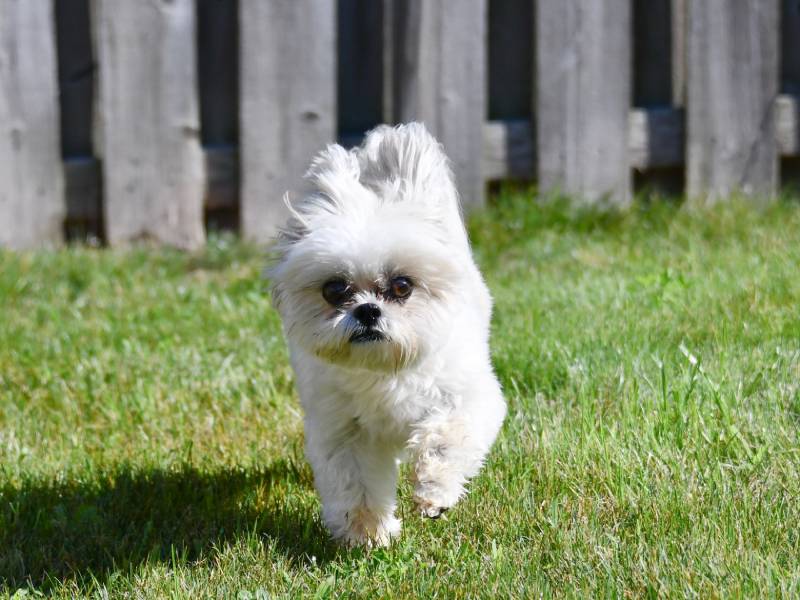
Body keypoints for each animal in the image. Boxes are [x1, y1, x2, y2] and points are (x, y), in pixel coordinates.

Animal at [270, 124, 506, 548]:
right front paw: (367, 533)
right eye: (335, 290)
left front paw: (433, 493)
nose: (367, 310)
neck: (384, 371)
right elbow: (357, 485)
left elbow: (445, 440)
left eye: (401, 286)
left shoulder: (467, 399)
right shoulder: (345, 431)